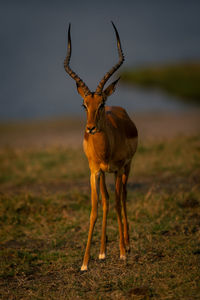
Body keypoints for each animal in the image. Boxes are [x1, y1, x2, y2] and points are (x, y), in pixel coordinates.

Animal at [63, 21, 138, 270]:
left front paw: (123, 253)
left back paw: (127, 245)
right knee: (106, 201)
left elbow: (117, 203)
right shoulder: (94, 171)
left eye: (102, 103)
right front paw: (85, 262)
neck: (106, 149)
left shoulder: (118, 168)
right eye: (84, 104)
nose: (90, 129)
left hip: (126, 169)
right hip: (105, 174)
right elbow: (95, 209)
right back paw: (103, 251)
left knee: (122, 197)